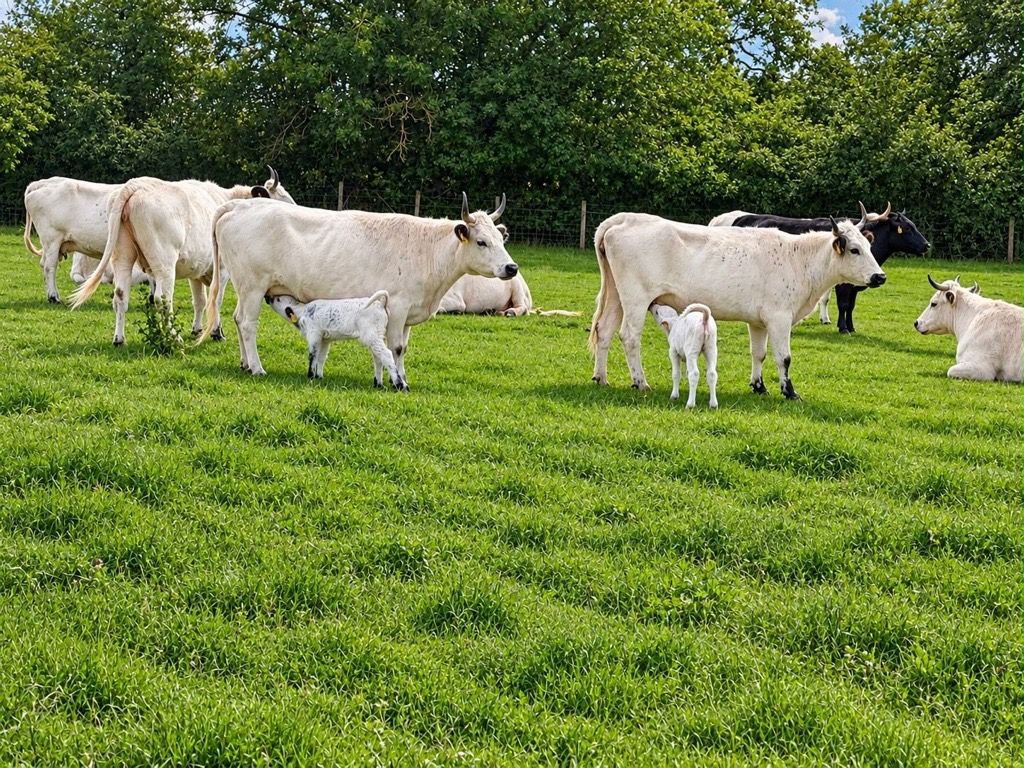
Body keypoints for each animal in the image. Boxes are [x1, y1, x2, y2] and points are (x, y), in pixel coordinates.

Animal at [69, 168, 294, 345]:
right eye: (282, 197)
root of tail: (137, 185)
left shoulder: (197, 271)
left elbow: (200, 301)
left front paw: (197, 329)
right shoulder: (222, 271)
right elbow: (216, 300)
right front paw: (216, 332)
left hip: (122, 256)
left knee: (120, 295)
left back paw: (119, 339)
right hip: (164, 264)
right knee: (162, 299)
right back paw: (173, 337)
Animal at [198, 193, 518, 388]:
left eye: (499, 239)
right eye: (481, 242)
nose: (512, 267)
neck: (428, 252)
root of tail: (239, 205)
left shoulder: (408, 313)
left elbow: (402, 348)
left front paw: (399, 377)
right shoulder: (397, 307)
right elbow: (395, 348)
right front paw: (398, 381)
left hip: (244, 287)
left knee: (238, 319)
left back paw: (244, 363)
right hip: (253, 285)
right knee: (247, 323)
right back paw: (256, 367)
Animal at [590, 213, 885, 399]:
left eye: (869, 246)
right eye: (855, 249)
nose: (879, 276)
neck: (799, 260)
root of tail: (624, 218)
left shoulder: (759, 321)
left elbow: (759, 354)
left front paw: (759, 386)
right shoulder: (779, 317)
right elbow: (784, 357)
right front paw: (789, 392)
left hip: (616, 296)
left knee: (604, 330)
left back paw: (601, 378)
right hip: (636, 298)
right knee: (629, 336)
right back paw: (640, 382)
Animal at [709, 203, 929, 332]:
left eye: (914, 225)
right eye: (906, 228)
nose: (927, 245)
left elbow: (850, 305)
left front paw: (850, 327)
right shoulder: (843, 285)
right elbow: (843, 304)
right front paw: (843, 328)